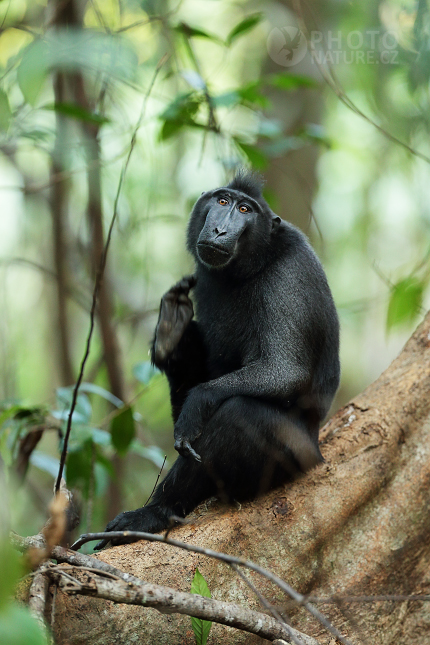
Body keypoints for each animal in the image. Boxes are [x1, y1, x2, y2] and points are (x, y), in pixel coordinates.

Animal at [95, 171, 340, 548]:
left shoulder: (289, 276)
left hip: (296, 458)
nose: (220, 230)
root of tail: (318, 453)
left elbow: (285, 370)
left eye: (245, 209)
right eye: (222, 201)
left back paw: (153, 514)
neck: (248, 267)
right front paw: (170, 334)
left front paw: (198, 402)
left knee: (239, 412)